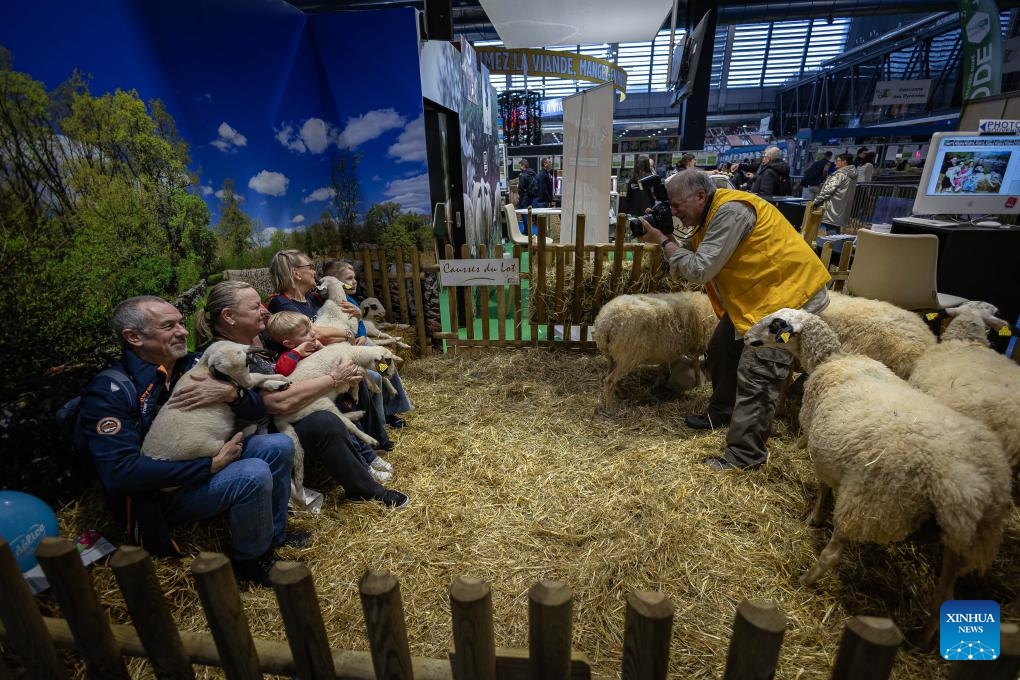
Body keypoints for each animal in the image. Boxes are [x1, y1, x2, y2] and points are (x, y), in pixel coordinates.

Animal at [139, 340, 291, 462]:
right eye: (223, 373)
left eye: (247, 362)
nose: (246, 386)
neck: (203, 367)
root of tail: (154, 456)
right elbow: (257, 376)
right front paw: (281, 379)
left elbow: (256, 379)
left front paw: (279, 384)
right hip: (209, 447)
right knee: (229, 442)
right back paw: (248, 429)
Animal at [271, 342, 401, 503]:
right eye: (388, 361)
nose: (391, 375)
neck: (351, 353)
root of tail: (278, 419)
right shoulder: (346, 374)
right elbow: (362, 371)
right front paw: (373, 387)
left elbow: (361, 374)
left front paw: (357, 393)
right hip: (319, 403)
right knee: (346, 423)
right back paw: (370, 439)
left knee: (344, 418)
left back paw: (357, 414)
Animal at [746, 311, 1015, 648]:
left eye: (775, 324)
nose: (746, 336)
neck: (834, 357)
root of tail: (966, 488)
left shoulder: (823, 449)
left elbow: (822, 488)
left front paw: (814, 517)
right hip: (958, 542)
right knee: (944, 595)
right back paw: (922, 641)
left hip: (868, 501)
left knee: (833, 554)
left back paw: (806, 579)